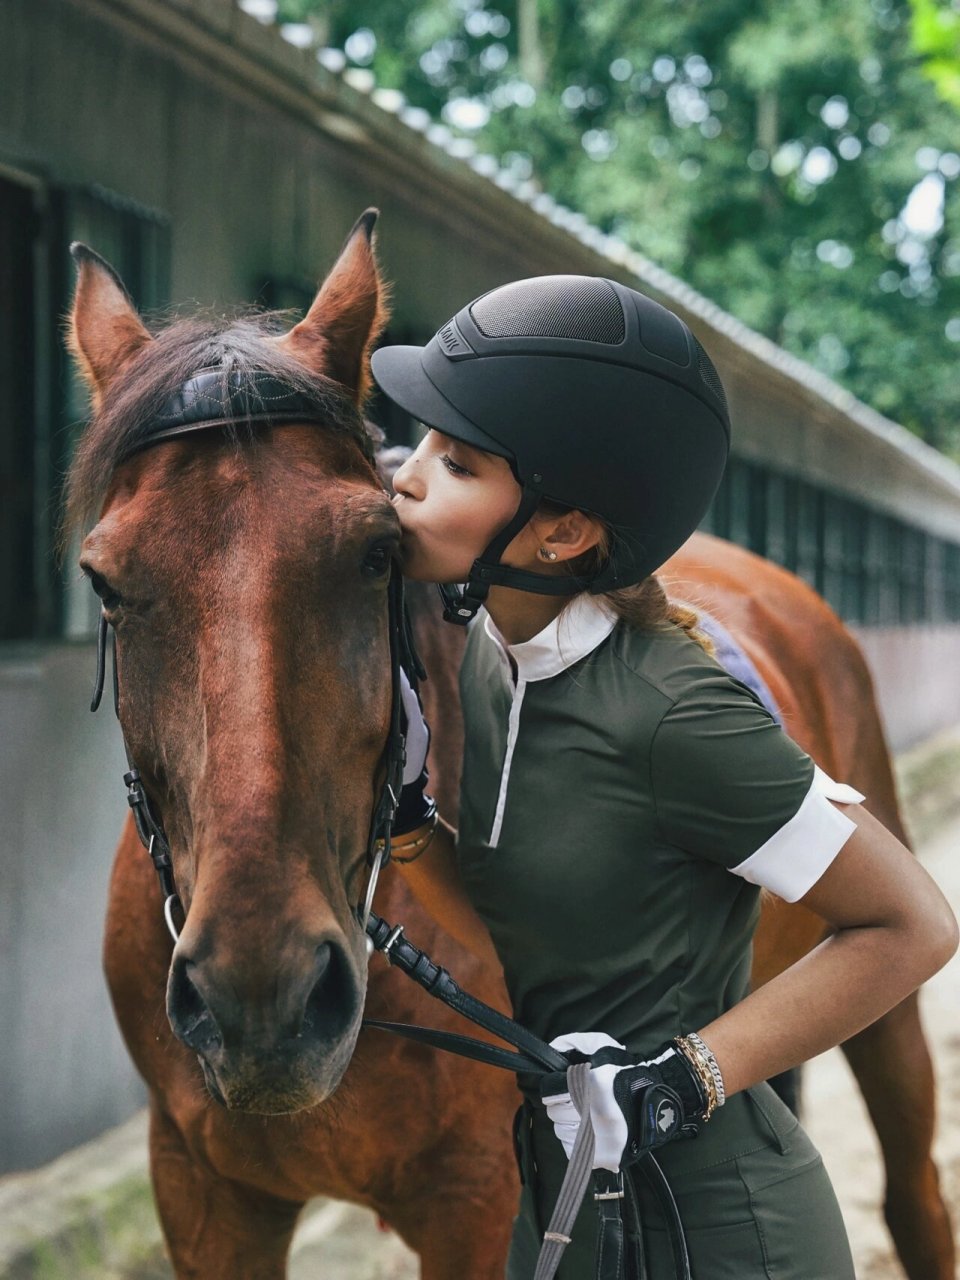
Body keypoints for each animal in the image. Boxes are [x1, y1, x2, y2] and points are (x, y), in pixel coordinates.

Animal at [69, 212, 957, 1280]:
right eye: (105, 581)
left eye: (377, 553)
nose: (262, 1000)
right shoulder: (205, 1193)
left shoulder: (477, 1202)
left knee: (912, 1190)